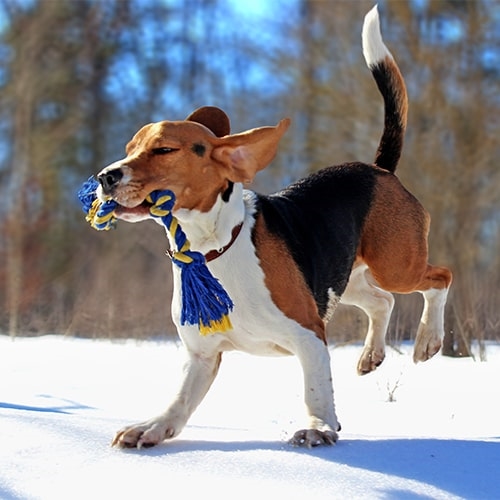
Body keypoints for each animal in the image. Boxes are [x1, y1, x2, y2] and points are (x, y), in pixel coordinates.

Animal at [95, 6, 452, 448]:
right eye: (130, 149)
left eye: (164, 150)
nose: (105, 177)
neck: (212, 247)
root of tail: (379, 170)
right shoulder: (202, 355)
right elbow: (180, 400)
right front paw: (153, 426)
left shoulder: (309, 334)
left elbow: (315, 389)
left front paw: (318, 427)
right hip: (343, 280)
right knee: (381, 302)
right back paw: (372, 355)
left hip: (396, 265)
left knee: (439, 278)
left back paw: (427, 340)